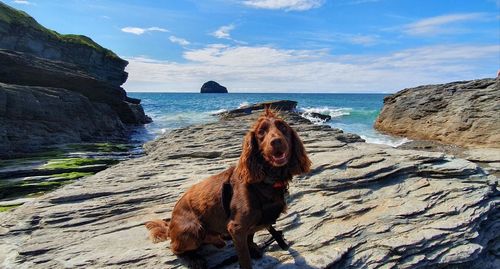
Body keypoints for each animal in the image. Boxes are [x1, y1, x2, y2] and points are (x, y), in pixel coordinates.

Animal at [145, 109, 310, 268]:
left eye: (283, 127)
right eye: (261, 132)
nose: (276, 142)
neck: (266, 181)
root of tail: (170, 225)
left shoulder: (248, 226)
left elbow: (250, 237)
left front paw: (253, 248)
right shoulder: (237, 227)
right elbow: (245, 260)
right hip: (193, 228)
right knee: (175, 247)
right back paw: (194, 258)